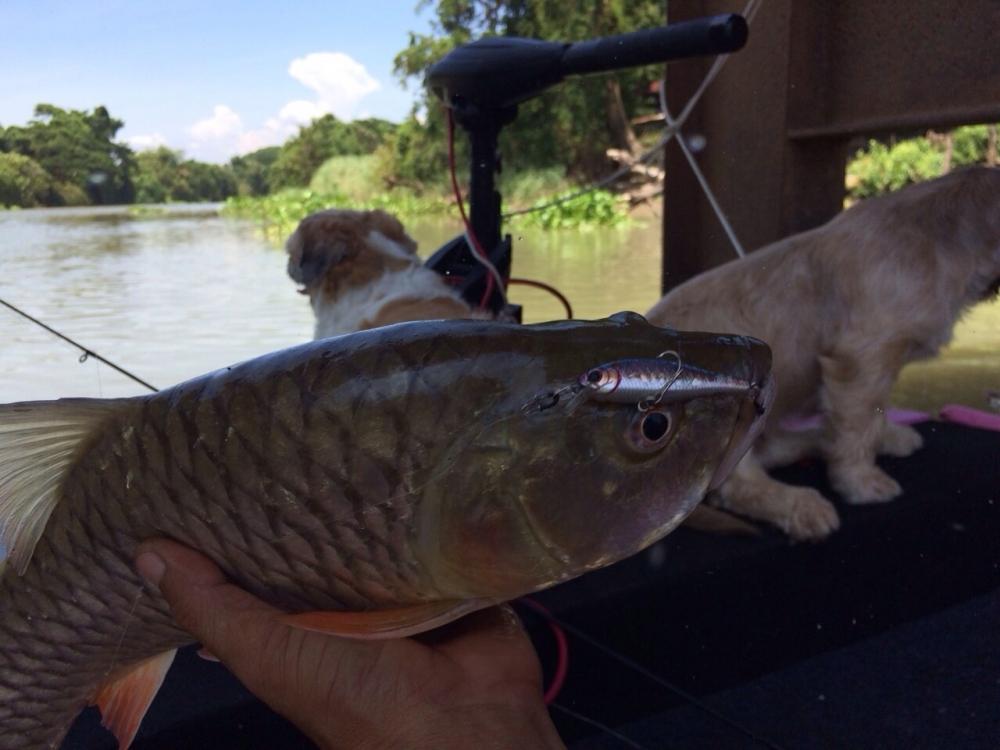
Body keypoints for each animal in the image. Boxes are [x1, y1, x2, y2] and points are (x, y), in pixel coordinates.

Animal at [644, 166, 1000, 540]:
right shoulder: (861, 357)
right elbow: (859, 423)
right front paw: (861, 481)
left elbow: (873, 413)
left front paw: (887, 436)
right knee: (738, 486)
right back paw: (800, 504)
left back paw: (817, 441)